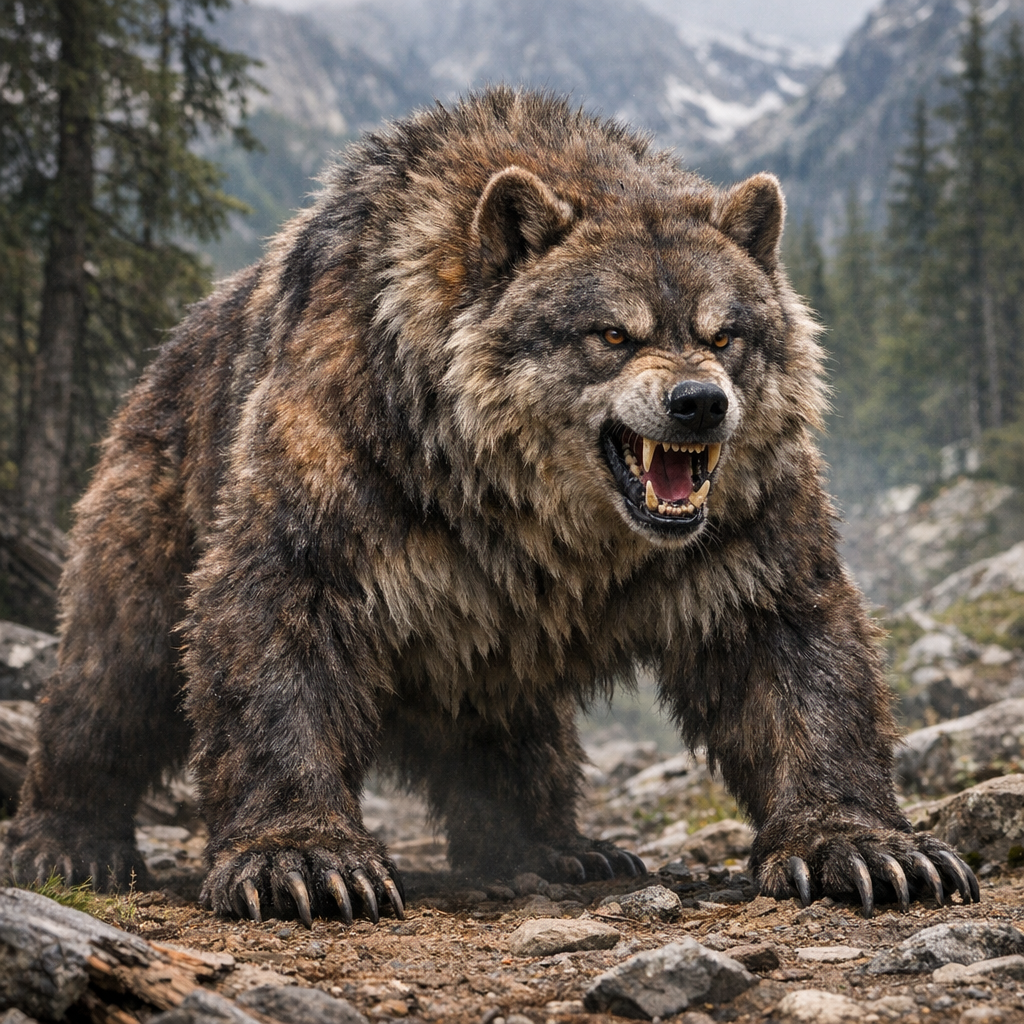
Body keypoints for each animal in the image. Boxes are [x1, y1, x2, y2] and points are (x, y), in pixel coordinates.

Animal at [2, 88, 978, 925]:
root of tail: (167, 348)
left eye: (726, 331)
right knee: (115, 667)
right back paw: (70, 837)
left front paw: (869, 848)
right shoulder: (349, 454)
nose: (699, 403)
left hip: (496, 637)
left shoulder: (741, 519)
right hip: (156, 494)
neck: (525, 506)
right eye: (612, 332)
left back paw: (559, 845)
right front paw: (305, 861)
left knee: (515, 728)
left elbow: (789, 644)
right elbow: (277, 619)